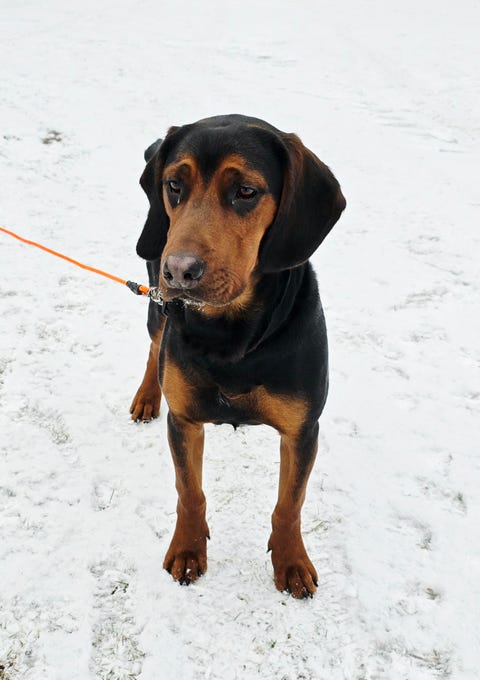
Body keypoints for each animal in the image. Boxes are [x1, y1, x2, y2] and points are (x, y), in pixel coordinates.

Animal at [130, 114, 346, 598]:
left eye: (246, 191)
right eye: (174, 185)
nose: (179, 271)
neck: (231, 334)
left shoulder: (302, 429)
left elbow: (290, 503)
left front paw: (291, 561)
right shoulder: (184, 420)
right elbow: (189, 492)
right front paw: (188, 549)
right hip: (156, 303)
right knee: (154, 347)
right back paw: (147, 396)